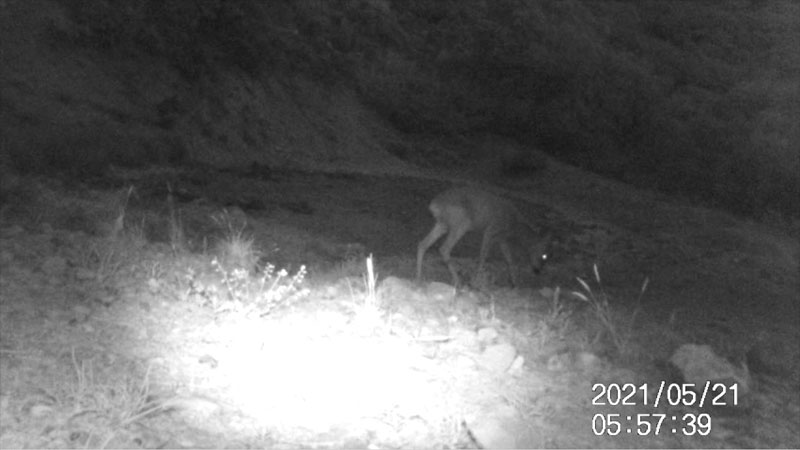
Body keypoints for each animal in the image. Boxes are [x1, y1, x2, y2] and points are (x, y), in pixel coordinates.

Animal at [412, 187, 552, 288]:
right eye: (544, 255)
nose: (537, 270)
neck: (514, 226)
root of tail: (434, 205)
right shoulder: (490, 231)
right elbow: (483, 256)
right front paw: (477, 281)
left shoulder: (502, 239)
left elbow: (510, 259)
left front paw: (514, 283)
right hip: (461, 222)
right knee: (444, 248)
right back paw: (458, 281)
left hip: (443, 224)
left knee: (423, 243)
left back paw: (418, 277)